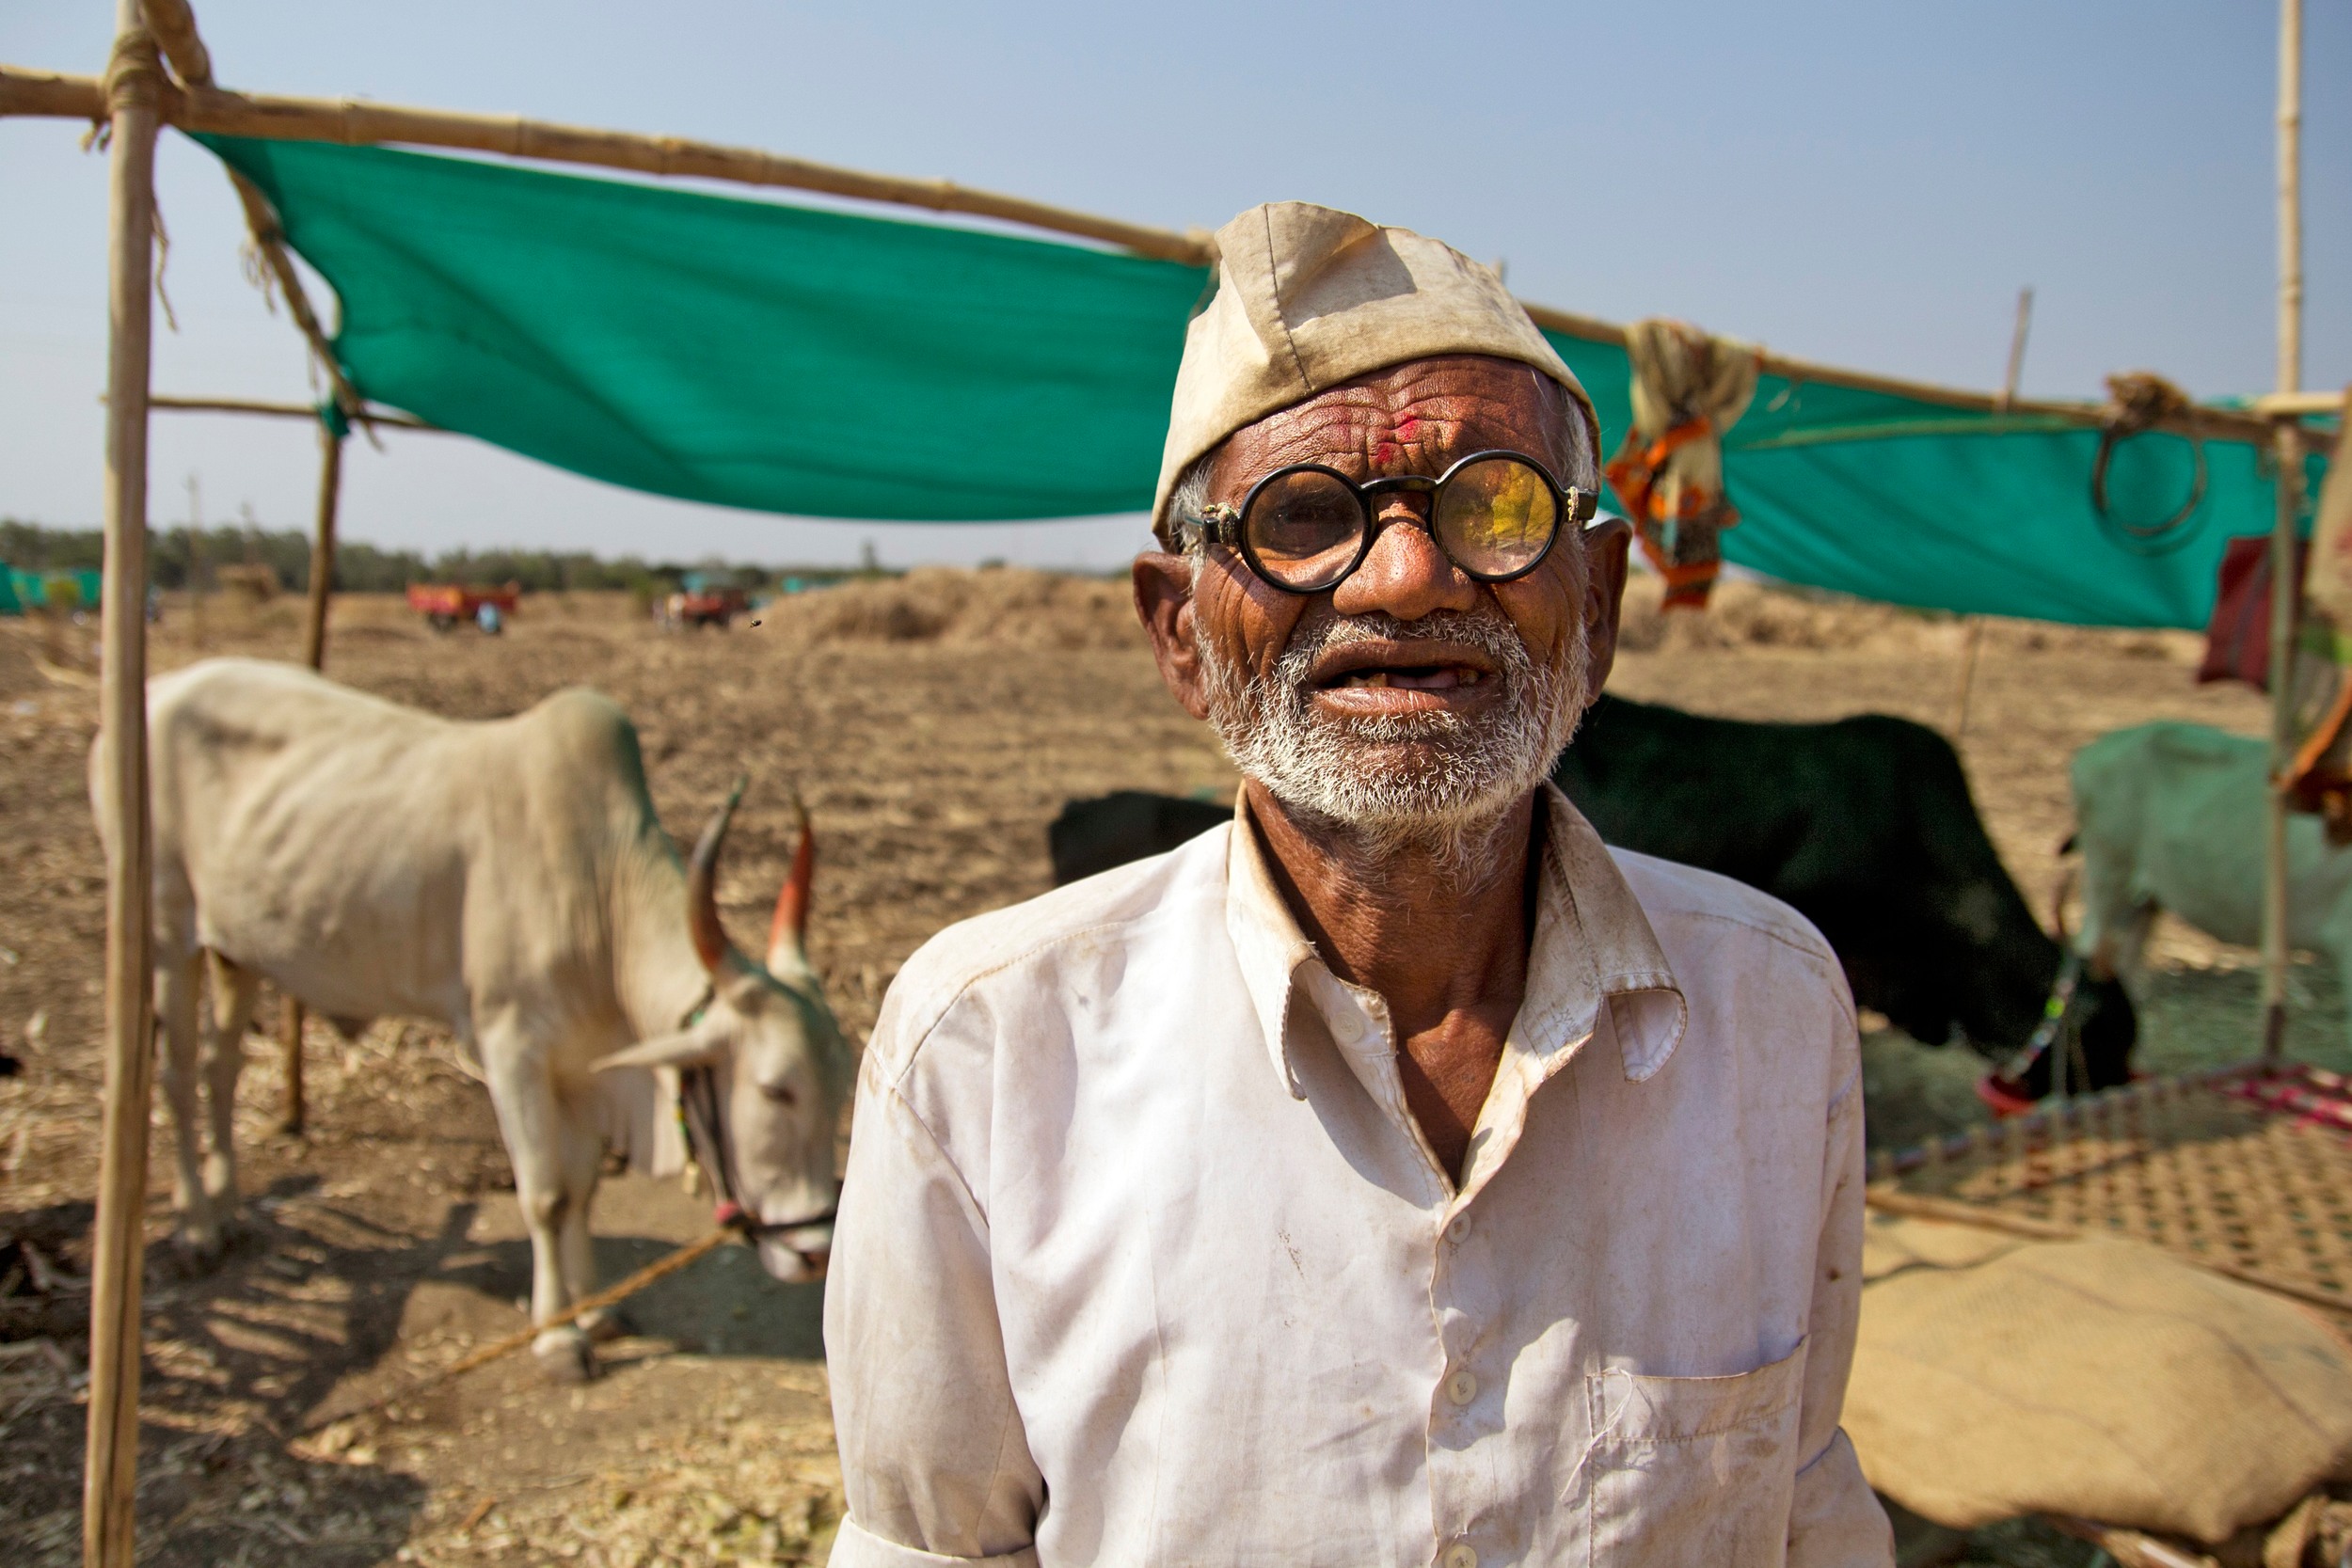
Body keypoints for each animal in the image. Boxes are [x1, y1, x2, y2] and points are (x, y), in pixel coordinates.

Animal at [101, 657, 861, 1382]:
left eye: (840, 1089)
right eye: (774, 1089)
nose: (813, 1254)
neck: (598, 890)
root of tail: (162, 686)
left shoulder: (580, 1062)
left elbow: (583, 1189)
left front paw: (597, 1312)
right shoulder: (511, 1047)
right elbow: (547, 1195)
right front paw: (558, 1337)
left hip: (236, 950)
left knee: (220, 1067)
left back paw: (228, 1206)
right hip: (166, 931)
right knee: (174, 1075)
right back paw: (197, 1229)